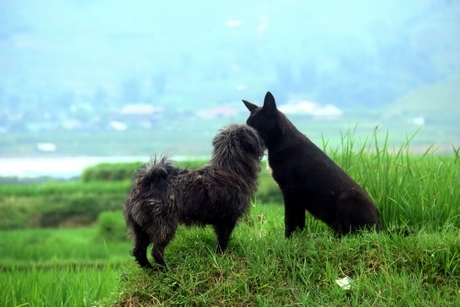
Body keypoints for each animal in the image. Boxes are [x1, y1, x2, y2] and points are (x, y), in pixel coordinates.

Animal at [123, 124, 266, 268]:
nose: (263, 141)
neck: (230, 170)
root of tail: (144, 186)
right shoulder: (227, 220)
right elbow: (223, 240)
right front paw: (222, 256)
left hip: (140, 230)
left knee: (139, 251)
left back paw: (151, 270)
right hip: (163, 227)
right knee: (156, 251)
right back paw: (166, 269)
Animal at [243, 91, 380, 238]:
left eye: (255, 125)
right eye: (247, 124)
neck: (281, 141)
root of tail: (379, 227)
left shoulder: (289, 191)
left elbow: (289, 219)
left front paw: (287, 239)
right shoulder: (298, 197)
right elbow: (300, 221)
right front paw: (298, 238)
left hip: (346, 198)